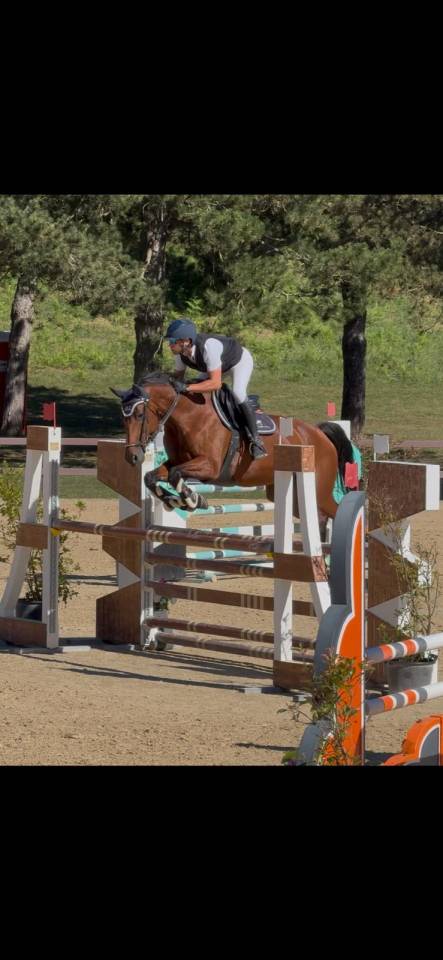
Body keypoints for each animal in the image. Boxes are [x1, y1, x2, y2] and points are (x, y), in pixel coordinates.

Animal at [111, 373, 355, 519]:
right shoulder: (177, 461)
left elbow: (175, 475)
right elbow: (152, 477)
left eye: (139, 414)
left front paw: (192, 499)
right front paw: (173, 499)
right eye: (123, 418)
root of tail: (318, 434)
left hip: (318, 490)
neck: (188, 416)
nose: (132, 457)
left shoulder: (210, 466)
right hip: (287, 493)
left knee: (332, 512)